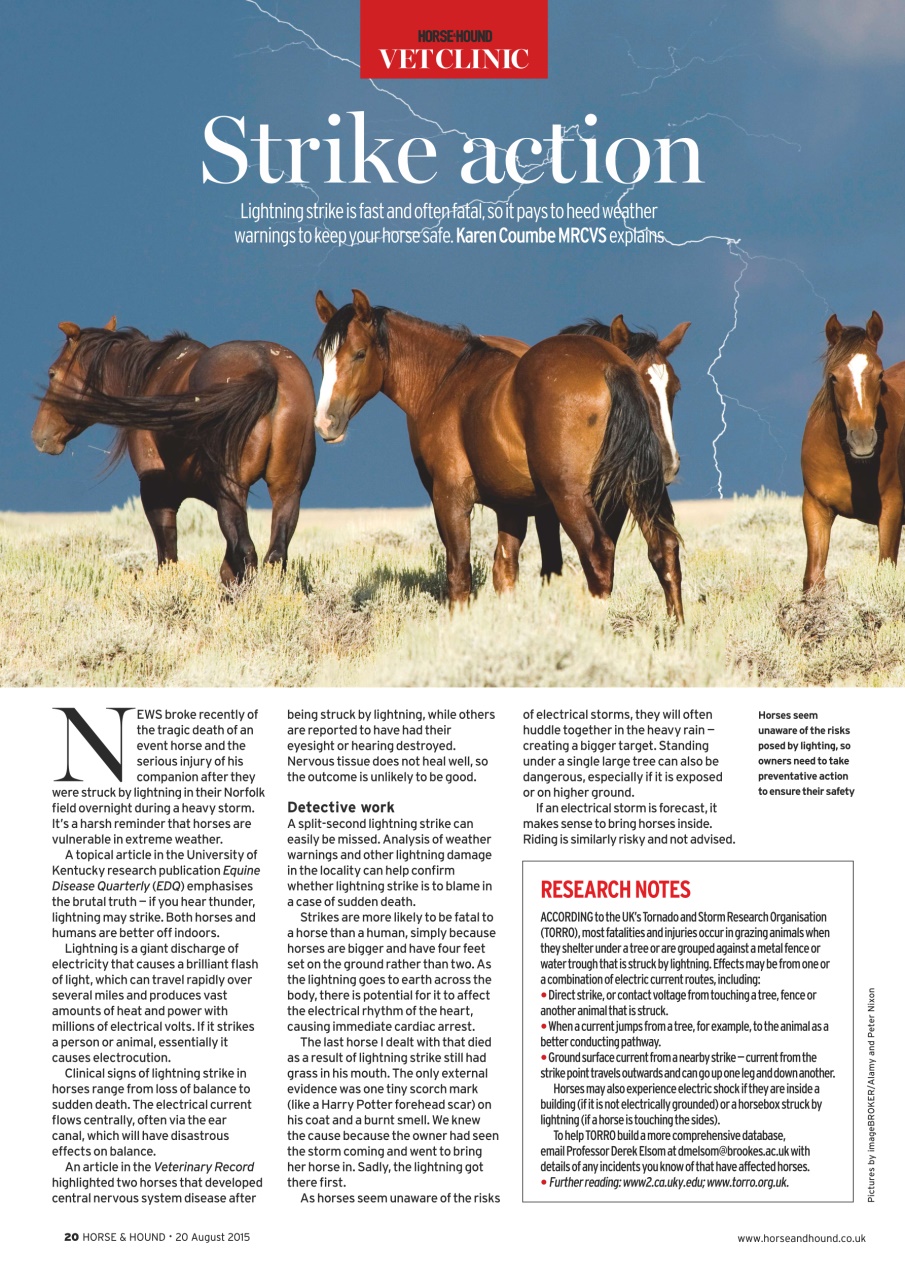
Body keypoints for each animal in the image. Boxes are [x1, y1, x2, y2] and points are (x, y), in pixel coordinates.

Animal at [32, 318, 317, 584]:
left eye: (52, 373)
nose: (38, 434)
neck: (148, 375)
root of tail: (267, 368)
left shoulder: (158, 493)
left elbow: (168, 559)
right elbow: (226, 568)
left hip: (232, 491)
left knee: (246, 551)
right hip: (286, 490)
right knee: (275, 555)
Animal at [801, 312, 905, 592]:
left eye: (880, 375)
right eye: (834, 377)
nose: (862, 441)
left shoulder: (892, 510)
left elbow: (884, 571)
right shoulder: (815, 508)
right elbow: (813, 578)